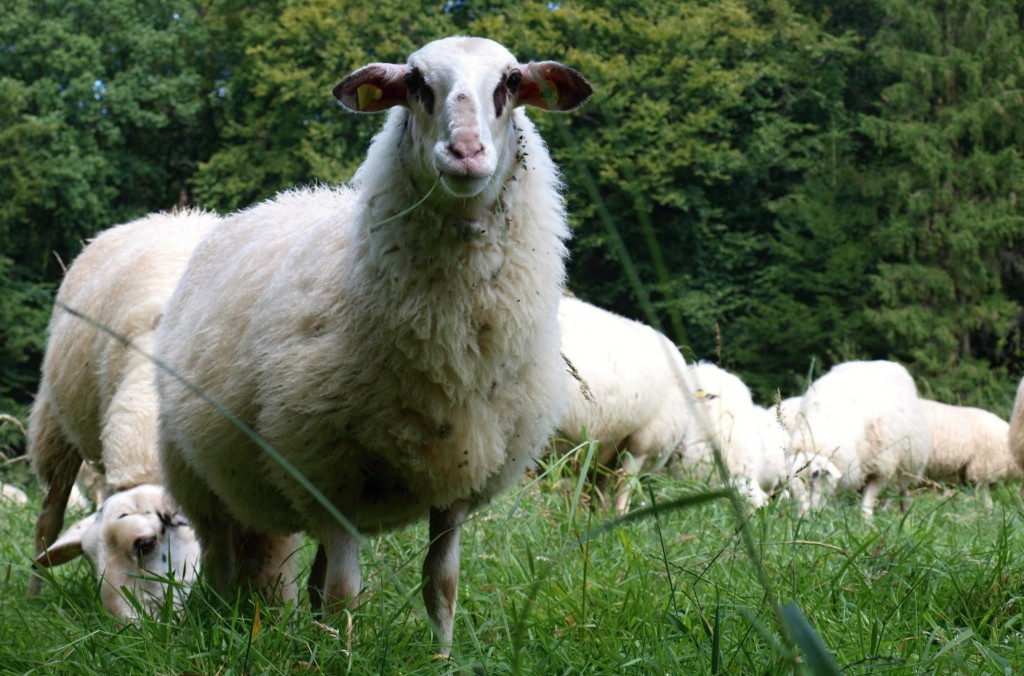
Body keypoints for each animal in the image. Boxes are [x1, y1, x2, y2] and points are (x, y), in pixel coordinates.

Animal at [27, 210, 214, 618]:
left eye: (145, 544)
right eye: (90, 560)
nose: (128, 630)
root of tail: (172, 215)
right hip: (56, 427)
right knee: (48, 521)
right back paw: (35, 596)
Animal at [155, 35, 598, 651]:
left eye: (510, 82)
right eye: (415, 83)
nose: (465, 152)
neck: (448, 347)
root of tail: (270, 203)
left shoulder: (458, 474)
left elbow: (442, 584)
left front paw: (442, 656)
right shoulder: (325, 470)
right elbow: (346, 593)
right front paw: (343, 657)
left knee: (310, 579)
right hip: (198, 478)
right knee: (221, 556)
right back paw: (216, 625)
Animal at [782, 358, 937, 518]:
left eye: (814, 478)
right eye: (793, 492)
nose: (803, 518)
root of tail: (871, 362)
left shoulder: (881, 470)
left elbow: (867, 502)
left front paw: (866, 520)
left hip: (907, 466)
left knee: (902, 491)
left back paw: (905, 514)